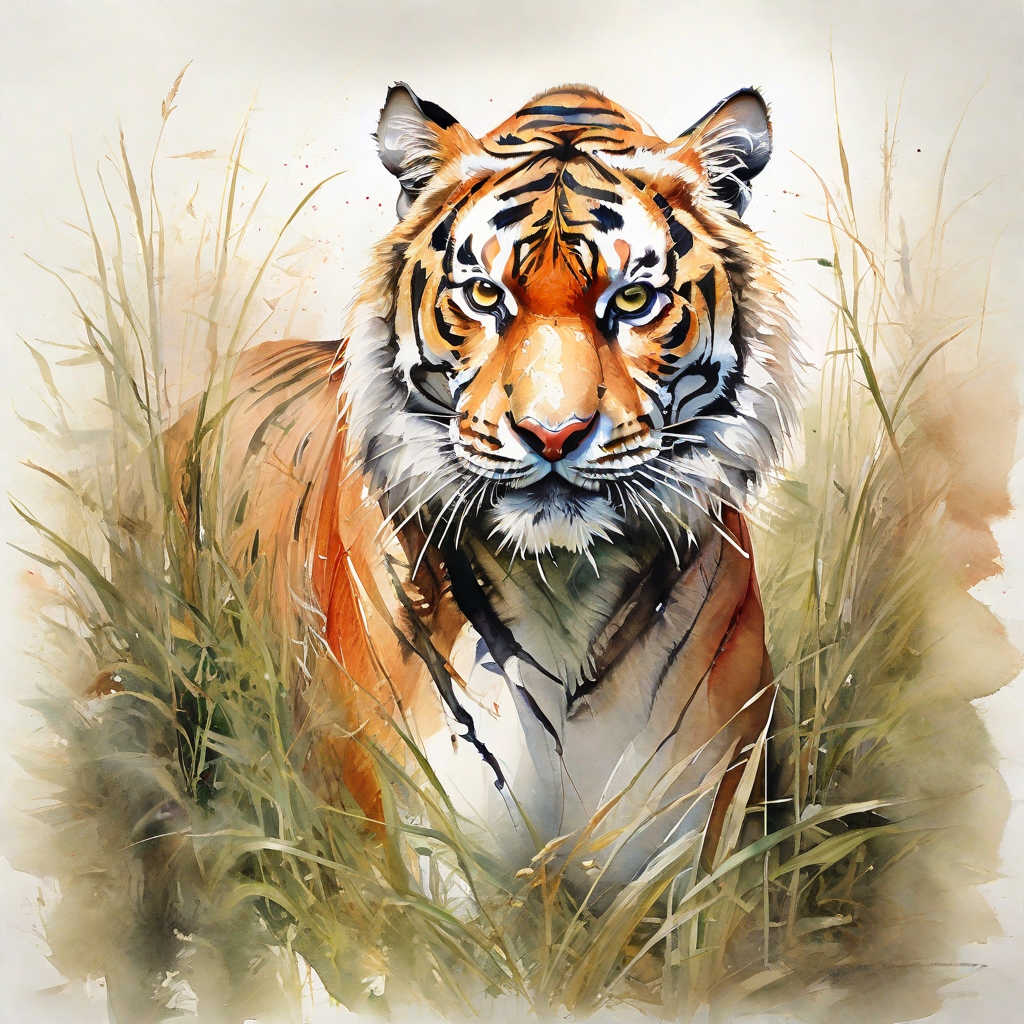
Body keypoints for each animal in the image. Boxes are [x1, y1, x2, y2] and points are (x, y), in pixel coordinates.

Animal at [180, 83, 798, 897]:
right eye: (483, 294)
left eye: (633, 302)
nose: (553, 434)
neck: (563, 591)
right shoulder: (414, 857)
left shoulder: (694, 850)